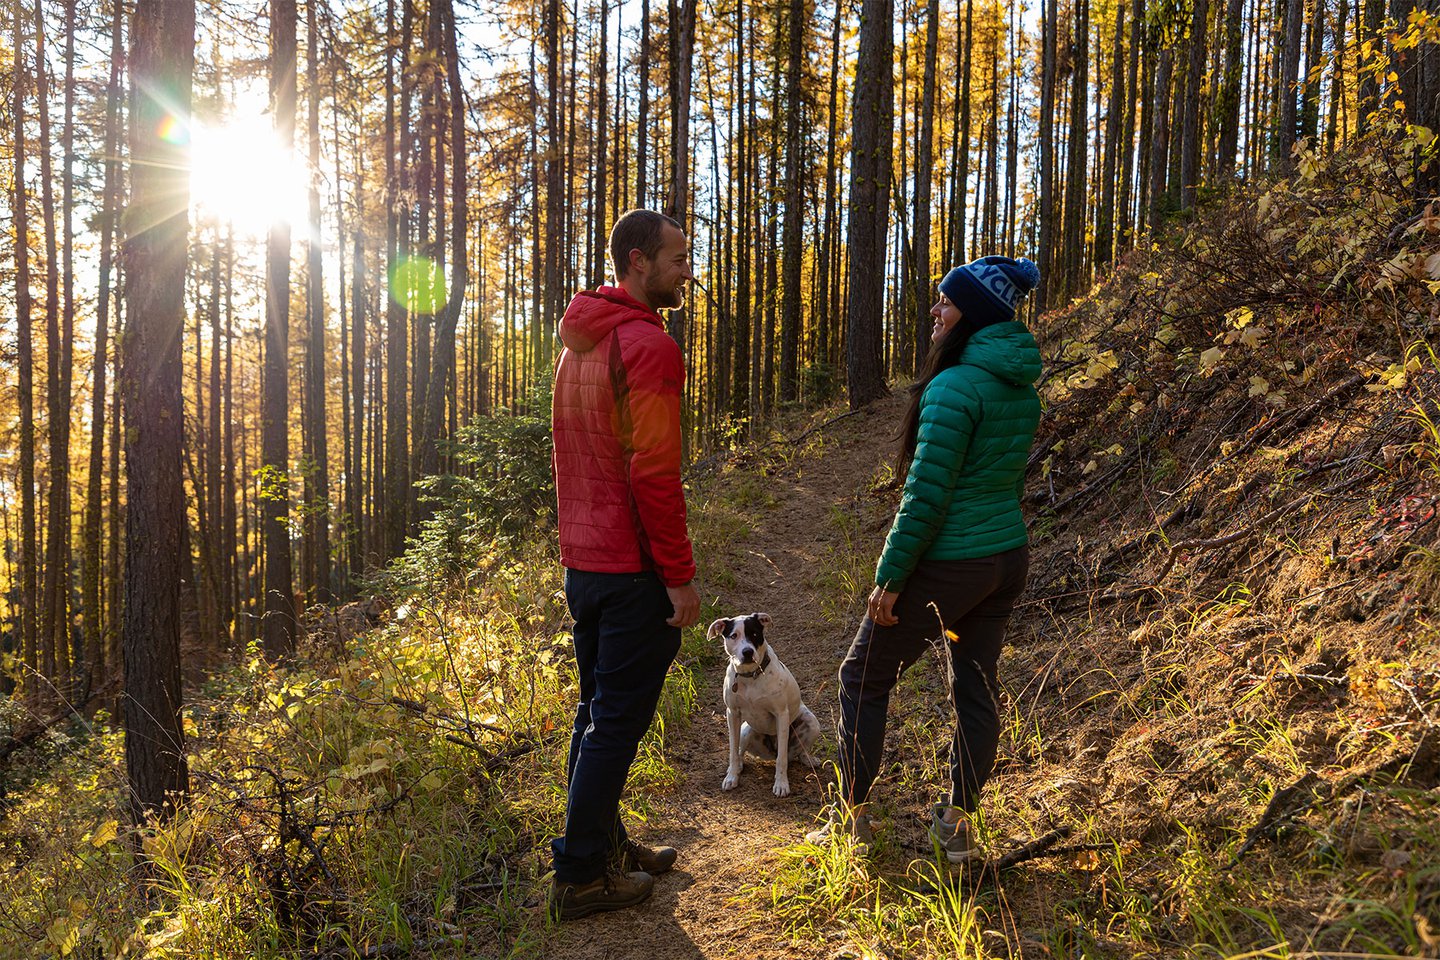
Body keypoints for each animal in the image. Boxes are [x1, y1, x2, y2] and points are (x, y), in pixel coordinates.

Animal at [708, 613, 823, 800]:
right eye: (733, 636)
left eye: (755, 634)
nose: (747, 652)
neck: (750, 677)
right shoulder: (732, 714)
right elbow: (732, 751)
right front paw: (732, 777)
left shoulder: (781, 714)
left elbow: (781, 759)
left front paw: (781, 784)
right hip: (745, 730)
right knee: (739, 751)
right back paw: (738, 767)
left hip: (811, 722)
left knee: (797, 751)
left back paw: (808, 759)